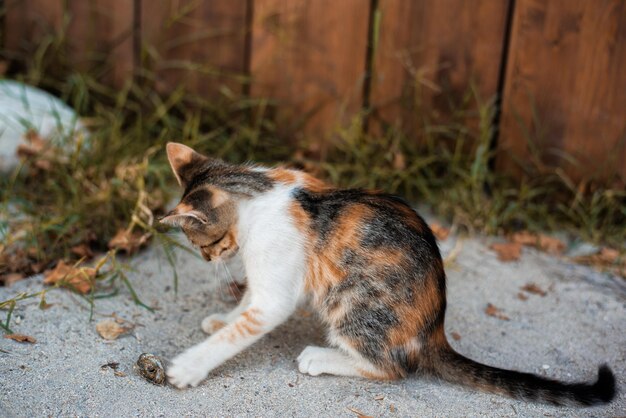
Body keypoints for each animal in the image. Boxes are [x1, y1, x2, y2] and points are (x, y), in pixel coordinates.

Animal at [158, 143, 612, 404]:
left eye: (203, 243)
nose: (207, 260)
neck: (258, 194)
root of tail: (433, 331)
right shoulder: (267, 274)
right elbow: (248, 303)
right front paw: (223, 319)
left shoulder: (277, 282)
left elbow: (253, 318)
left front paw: (189, 367)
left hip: (352, 299)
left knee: (393, 368)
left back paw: (321, 357)